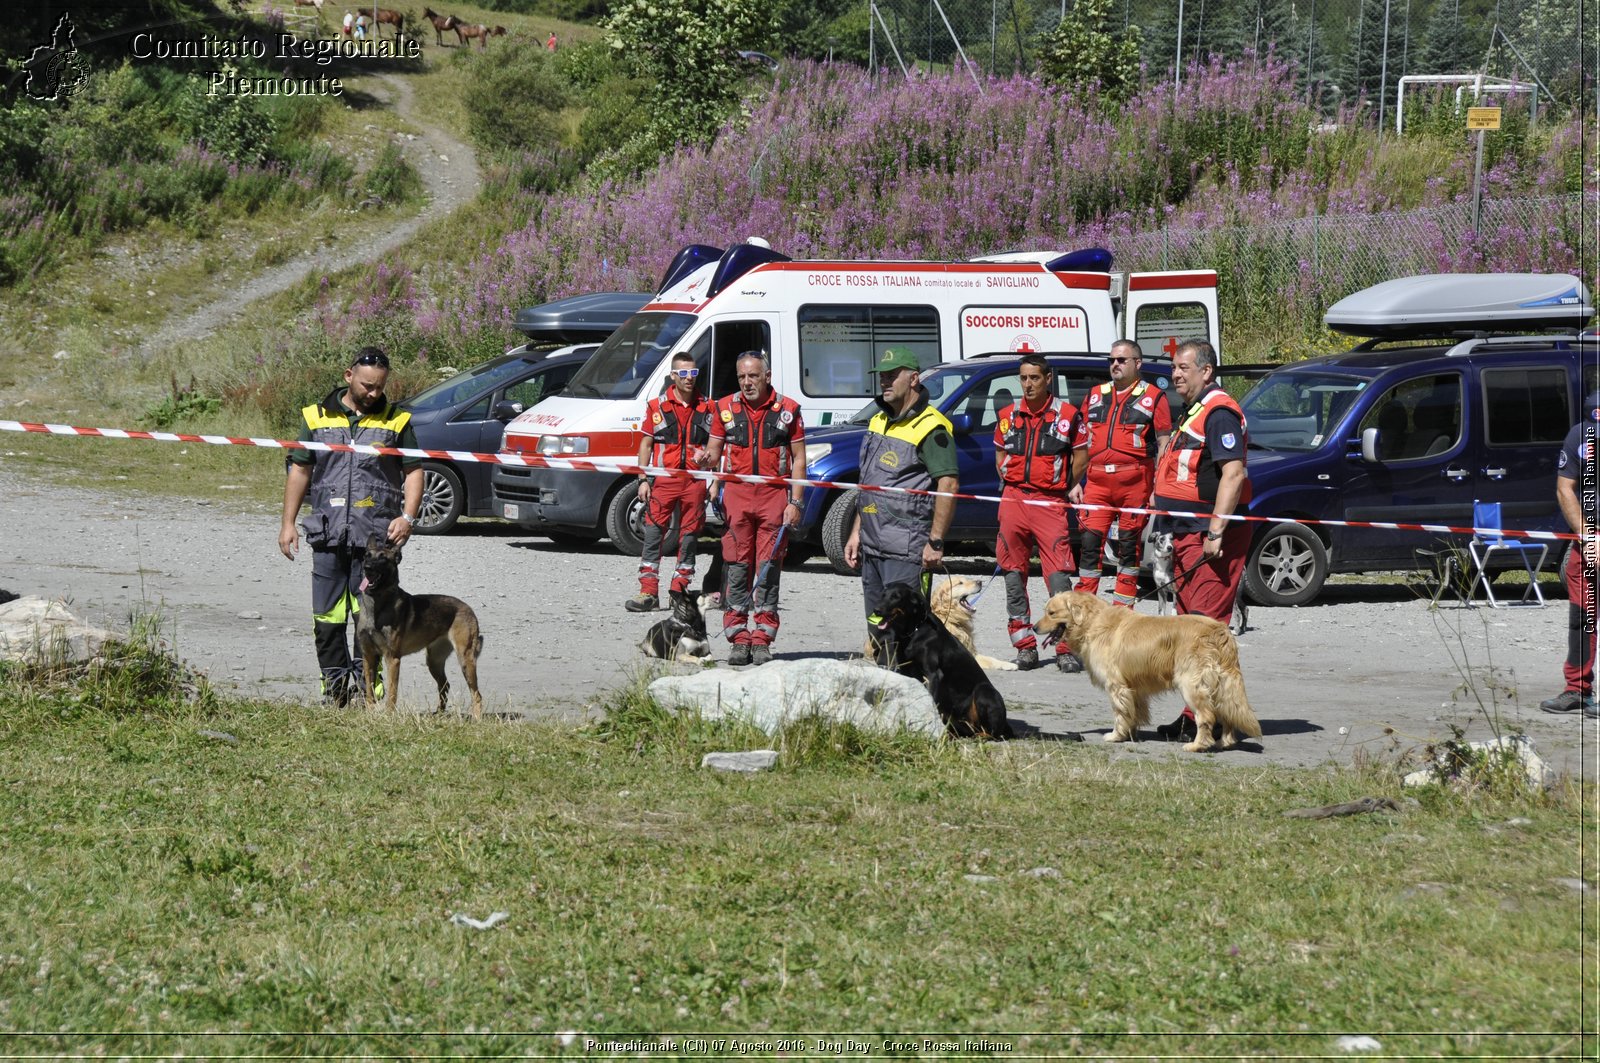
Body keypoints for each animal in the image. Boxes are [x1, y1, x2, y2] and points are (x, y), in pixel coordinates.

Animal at [360, 534, 483, 717]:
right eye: (367, 555)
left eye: (383, 558)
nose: (367, 567)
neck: (376, 607)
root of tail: (467, 608)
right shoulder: (368, 657)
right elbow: (369, 690)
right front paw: (369, 713)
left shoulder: (392, 659)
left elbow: (392, 692)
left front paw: (388, 716)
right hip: (433, 661)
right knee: (444, 685)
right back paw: (439, 714)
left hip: (465, 660)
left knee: (476, 694)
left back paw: (476, 718)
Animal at [876, 582, 1011, 739]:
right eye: (882, 595)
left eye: (896, 597)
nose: (876, 610)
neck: (913, 631)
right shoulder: (906, 671)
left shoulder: (933, 675)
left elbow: (932, 699)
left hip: (984, 691)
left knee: (993, 733)